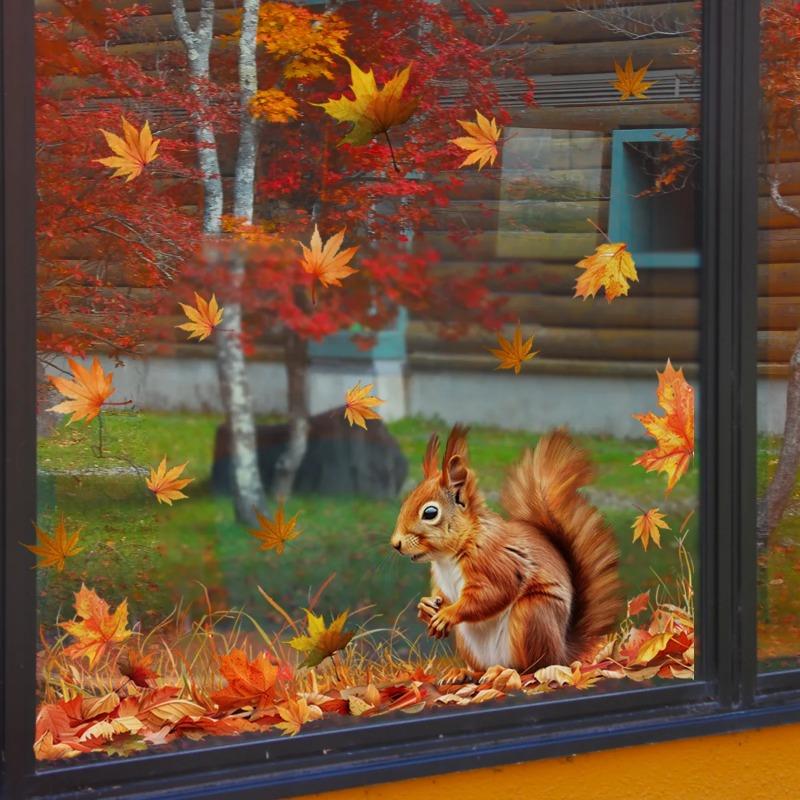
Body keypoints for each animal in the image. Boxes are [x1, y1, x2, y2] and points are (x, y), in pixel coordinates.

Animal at [390, 425, 621, 677]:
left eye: (430, 513)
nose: (395, 543)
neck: (448, 557)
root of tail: (563, 652)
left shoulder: (495, 561)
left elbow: (492, 593)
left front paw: (447, 615)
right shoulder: (442, 580)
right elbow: (442, 595)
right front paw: (426, 606)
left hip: (532, 615)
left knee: (533, 667)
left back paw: (510, 672)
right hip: (469, 642)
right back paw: (466, 674)